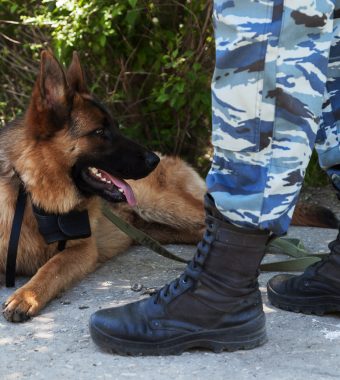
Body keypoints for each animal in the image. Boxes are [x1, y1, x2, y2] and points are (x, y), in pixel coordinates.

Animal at [0, 52, 336, 322]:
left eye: (114, 127)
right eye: (100, 132)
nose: (153, 159)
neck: (32, 194)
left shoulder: (81, 250)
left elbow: (51, 267)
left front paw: (26, 295)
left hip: (166, 207)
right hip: (157, 227)